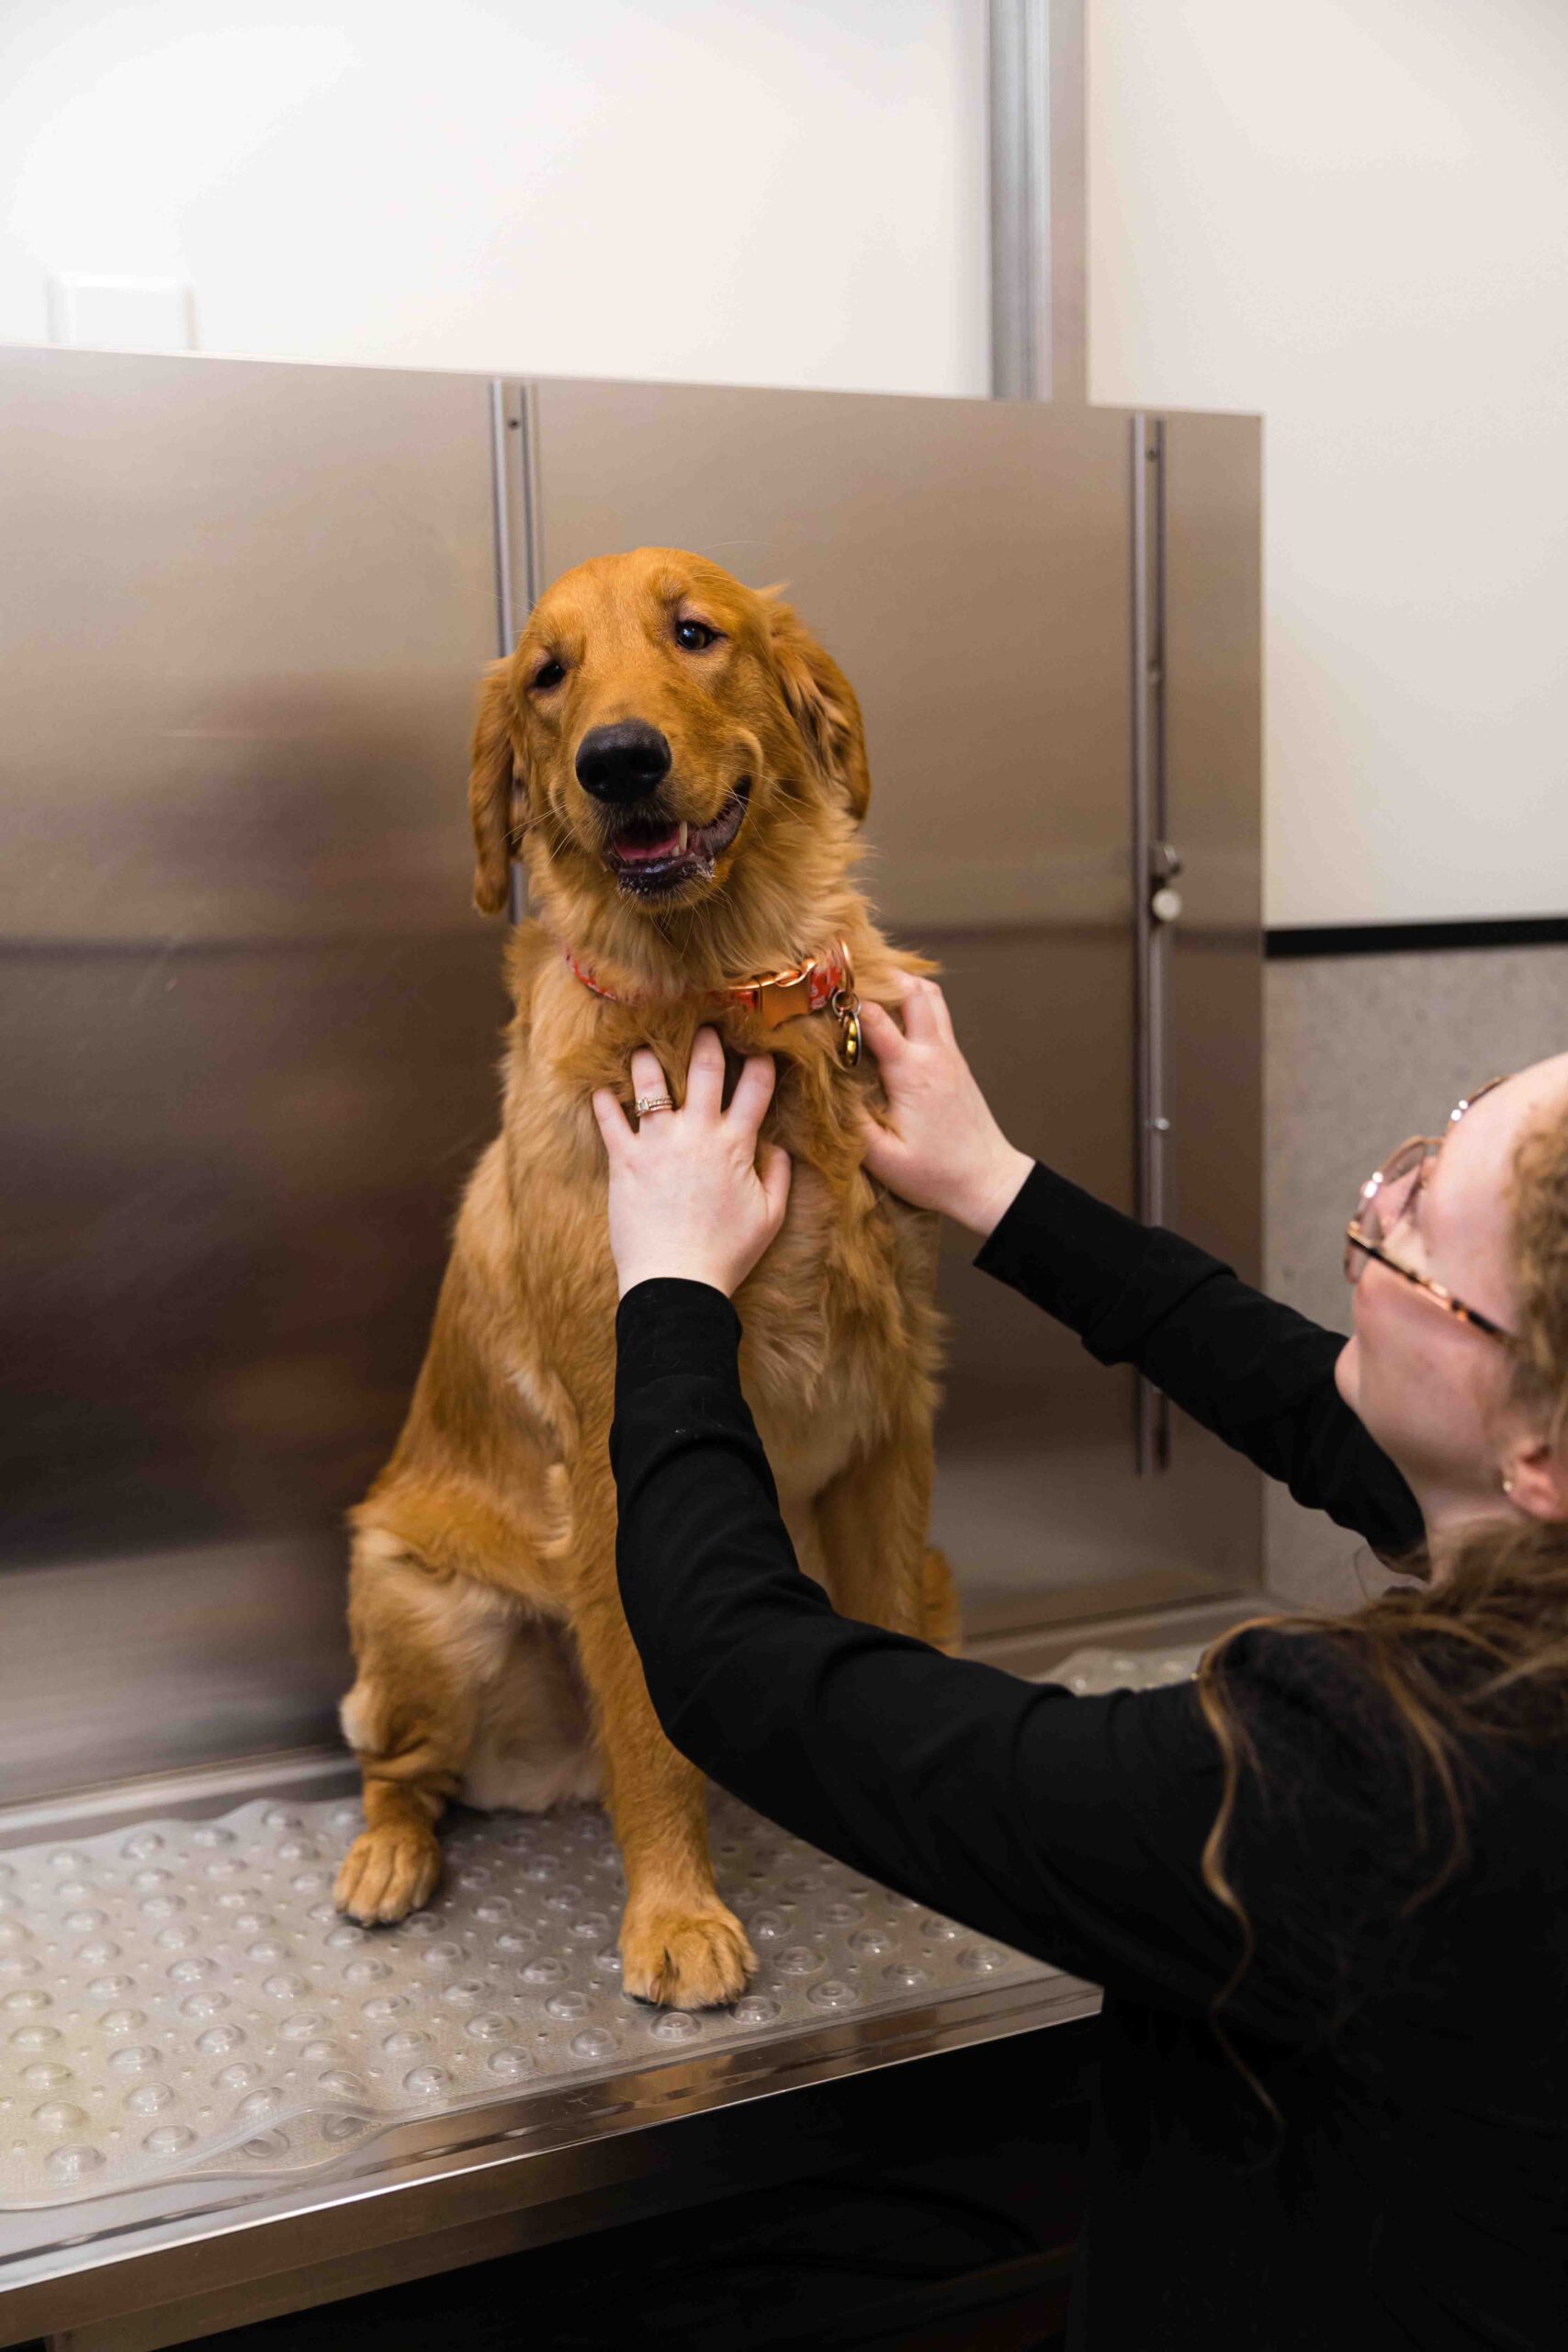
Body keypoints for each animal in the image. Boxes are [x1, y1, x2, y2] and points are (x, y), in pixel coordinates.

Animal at [331, 545, 959, 2004]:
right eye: (547, 673)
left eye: (694, 633)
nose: (618, 759)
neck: (719, 991)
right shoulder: (620, 1470)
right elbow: (647, 1737)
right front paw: (674, 1916)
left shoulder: (890, 1426)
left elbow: (892, 1629)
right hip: (417, 1602)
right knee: (398, 1768)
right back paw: (385, 1858)